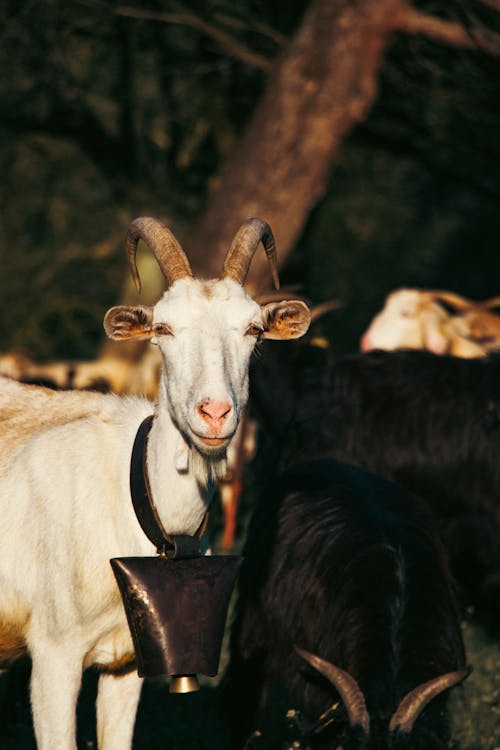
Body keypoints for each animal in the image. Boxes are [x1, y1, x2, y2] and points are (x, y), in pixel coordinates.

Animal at [0, 214, 308, 748]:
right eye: (163, 328)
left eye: (253, 329)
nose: (215, 413)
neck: (135, 498)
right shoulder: (53, 656)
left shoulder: (126, 662)